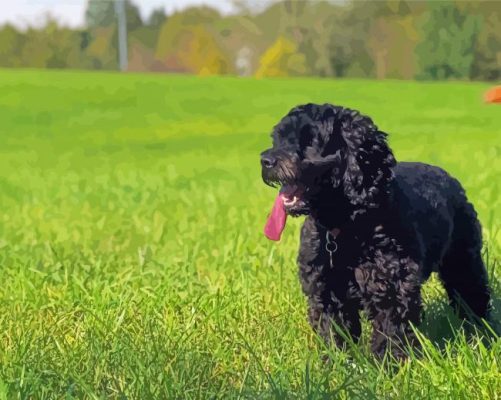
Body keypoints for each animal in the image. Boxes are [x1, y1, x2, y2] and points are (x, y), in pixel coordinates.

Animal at [260, 103, 490, 360]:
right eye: (278, 139)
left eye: (310, 140)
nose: (266, 160)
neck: (345, 227)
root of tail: (450, 178)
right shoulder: (327, 292)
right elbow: (334, 333)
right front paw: (338, 363)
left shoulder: (392, 290)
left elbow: (391, 334)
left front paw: (388, 365)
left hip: (463, 263)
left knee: (474, 296)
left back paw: (481, 333)